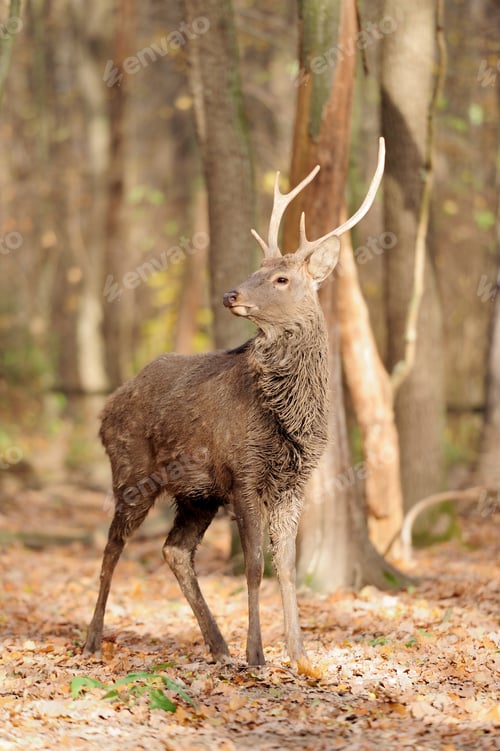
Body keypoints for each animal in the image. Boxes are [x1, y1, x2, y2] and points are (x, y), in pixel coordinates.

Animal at [84, 138, 385, 668]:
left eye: (281, 278)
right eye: (254, 269)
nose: (230, 294)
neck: (290, 421)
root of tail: (107, 406)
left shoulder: (292, 483)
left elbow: (287, 565)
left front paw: (299, 653)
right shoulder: (244, 472)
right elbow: (254, 566)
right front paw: (258, 654)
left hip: (196, 492)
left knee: (174, 550)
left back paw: (217, 644)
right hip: (131, 468)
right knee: (113, 545)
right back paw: (93, 639)